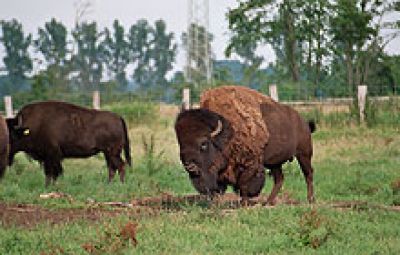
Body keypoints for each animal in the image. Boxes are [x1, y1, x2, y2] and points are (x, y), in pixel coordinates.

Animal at [175, 86, 316, 205]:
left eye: (203, 144)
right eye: (181, 144)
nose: (189, 166)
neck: (228, 133)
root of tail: (304, 122)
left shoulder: (250, 165)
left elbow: (244, 184)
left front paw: (244, 203)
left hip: (304, 154)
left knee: (308, 174)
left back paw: (310, 200)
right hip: (275, 163)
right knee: (279, 179)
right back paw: (268, 202)